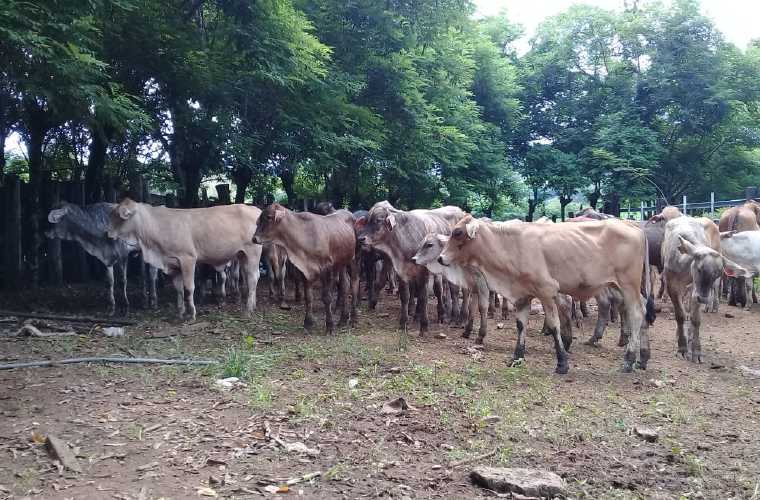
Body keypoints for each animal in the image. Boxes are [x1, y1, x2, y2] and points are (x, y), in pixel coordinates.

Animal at [107, 198, 263, 320]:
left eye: (119, 216)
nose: (107, 233)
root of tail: (255, 209)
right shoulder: (173, 264)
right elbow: (179, 289)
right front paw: (180, 312)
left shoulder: (188, 259)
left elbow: (189, 288)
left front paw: (192, 313)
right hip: (242, 255)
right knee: (249, 277)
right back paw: (253, 304)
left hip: (253, 252)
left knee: (253, 277)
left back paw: (248, 308)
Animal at [252, 203, 358, 334]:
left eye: (269, 217)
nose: (254, 238)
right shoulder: (305, 271)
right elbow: (308, 297)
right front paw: (308, 322)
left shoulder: (327, 269)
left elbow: (327, 297)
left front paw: (329, 325)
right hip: (341, 263)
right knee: (344, 285)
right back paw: (343, 319)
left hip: (354, 258)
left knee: (354, 283)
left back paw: (353, 317)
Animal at [356, 201, 465, 335]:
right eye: (366, 220)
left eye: (378, 220)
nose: (361, 239)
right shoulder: (402, 271)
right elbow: (405, 296)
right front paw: (403, 321)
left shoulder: (423, 272)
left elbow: (423, 297)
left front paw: (424, 325)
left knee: (447, 290)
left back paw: (448, 315)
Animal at [439, 215, 655, 374]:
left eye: (458, 232)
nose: (440, 258)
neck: (512, 247)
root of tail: (633, 226)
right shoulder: (523, 295)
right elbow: (521, 325)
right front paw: (516, 357)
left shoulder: (546, 291)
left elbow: (554, 325)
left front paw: (562, 363)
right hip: (625, 286)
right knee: (643, 311)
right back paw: (643, 358)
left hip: (628, 284)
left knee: (636, 313)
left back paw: (628, 360)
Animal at [661, 216, 747, 362]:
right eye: (700, 269)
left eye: (718, 274)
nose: (703, 298)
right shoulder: (672, 285)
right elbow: (680, 315)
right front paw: (682, 347)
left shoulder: (696, 289)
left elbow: (695, 319)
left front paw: (696, 350)